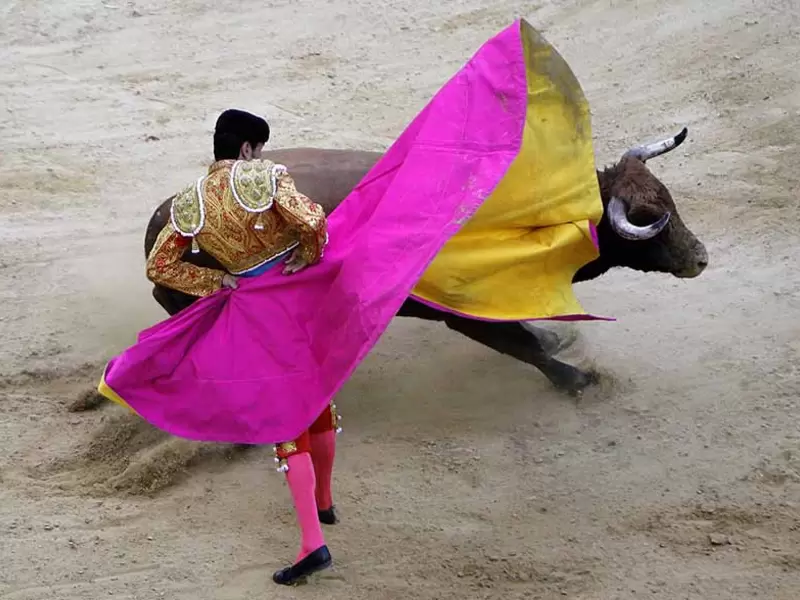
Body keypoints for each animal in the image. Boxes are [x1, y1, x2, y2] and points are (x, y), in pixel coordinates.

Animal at [144, 127, 708, 394]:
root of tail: (164, 215)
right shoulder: (464, 313)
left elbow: (529, 335)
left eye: (668, 200)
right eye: (648, 219)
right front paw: (580, 382)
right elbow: (522, 346)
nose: (700, 257)